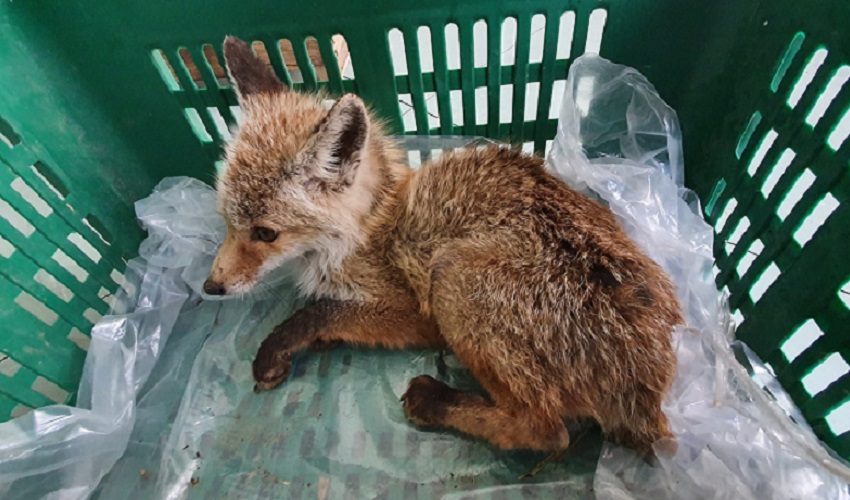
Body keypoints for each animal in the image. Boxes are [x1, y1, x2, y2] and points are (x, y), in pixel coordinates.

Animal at [204, 37, 684, 456]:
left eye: (266, 233)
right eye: (225, 217)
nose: (211, 288)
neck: (371, 226)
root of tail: (647, 387)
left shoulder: (413, 312)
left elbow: (322, 311)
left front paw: (283, 343)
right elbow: (322, 308)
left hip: (451, 280)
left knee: (547, 433)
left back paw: (435, 401)